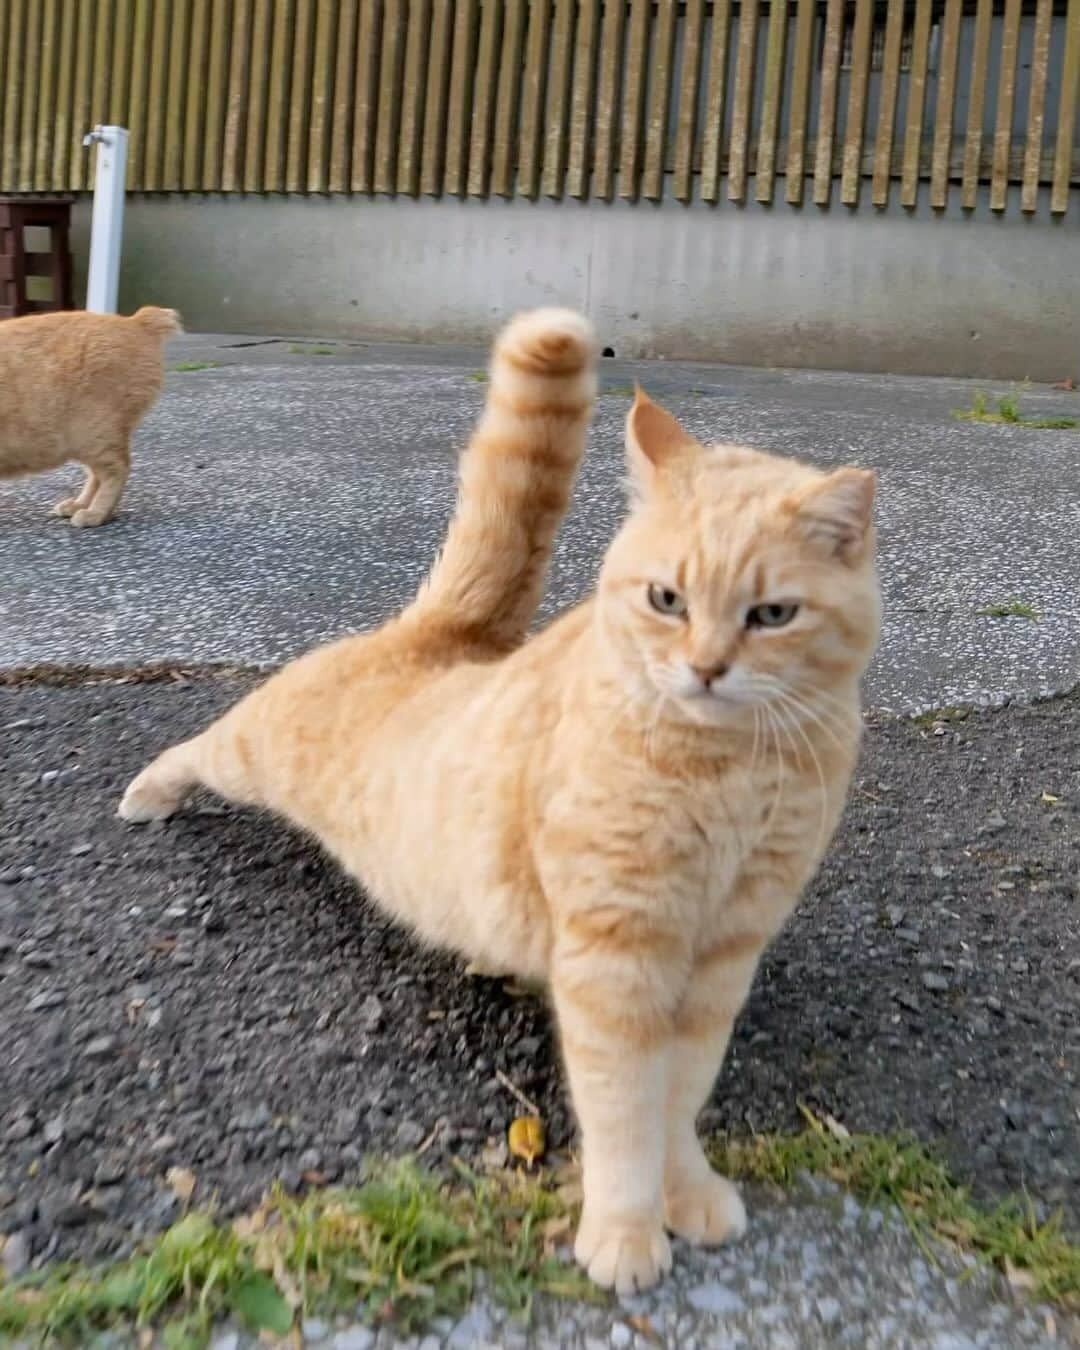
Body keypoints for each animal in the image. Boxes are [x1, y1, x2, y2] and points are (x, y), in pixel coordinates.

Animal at [0, 306, 180, 521]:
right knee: (97, 475)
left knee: (117, 469)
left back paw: (96, 513)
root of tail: (136, 320)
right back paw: (79, 505)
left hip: (92, 433)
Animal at [120, 309, 874, 1296]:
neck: (728, 772)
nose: (707, 668)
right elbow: (625, 1107)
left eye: (772, 616)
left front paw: (687, 1191)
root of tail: (445, 634)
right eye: (667, 599)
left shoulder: (725, 954)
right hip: (256, 745)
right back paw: (149, 791)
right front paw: (626, 1230)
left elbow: (681, 1092)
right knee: (199, 744)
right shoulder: (617, 958)